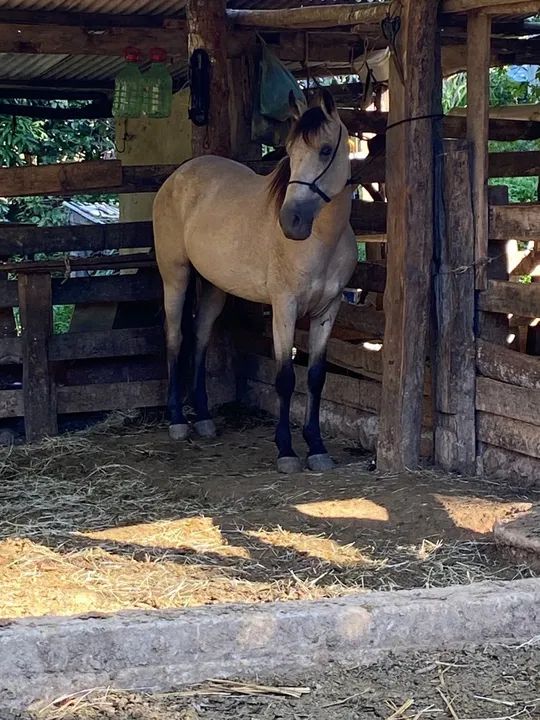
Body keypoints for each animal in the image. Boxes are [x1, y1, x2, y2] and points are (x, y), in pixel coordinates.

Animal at [153, 89, 357, 474]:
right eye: (290, 151)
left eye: (325, 150)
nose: (291, 221)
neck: (321, 241)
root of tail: (177, 177)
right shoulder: (284, 308)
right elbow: (285, 378)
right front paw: (286, 451)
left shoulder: (329, 309)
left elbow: (316, 377)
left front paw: (317, 447)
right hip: (175, 276)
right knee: (175, 338)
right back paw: (177, 421)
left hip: (214, 286)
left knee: (200, 338)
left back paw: (204, 419)